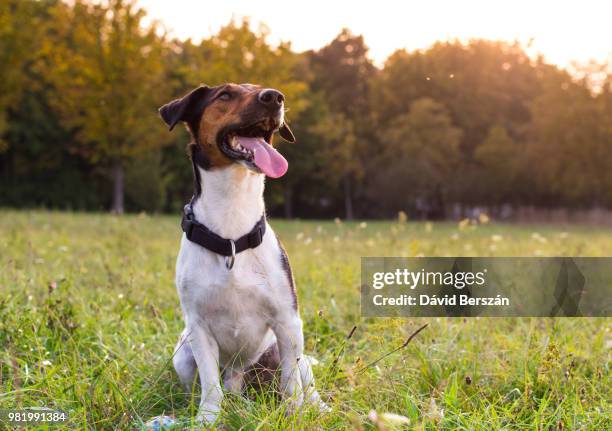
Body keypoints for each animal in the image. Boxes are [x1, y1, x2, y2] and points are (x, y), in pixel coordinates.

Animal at [160, 83, 328, 426]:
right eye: (224, 94)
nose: (275, 97)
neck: (231, 237)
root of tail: (240, 377)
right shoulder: (198, 328)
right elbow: (210, 385)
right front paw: (207, 418)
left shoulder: (288, 322)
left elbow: (291, 385)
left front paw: (294, 415)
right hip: (182, 354)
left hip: (289, 351)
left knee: (306, 383)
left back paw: (320, 408)